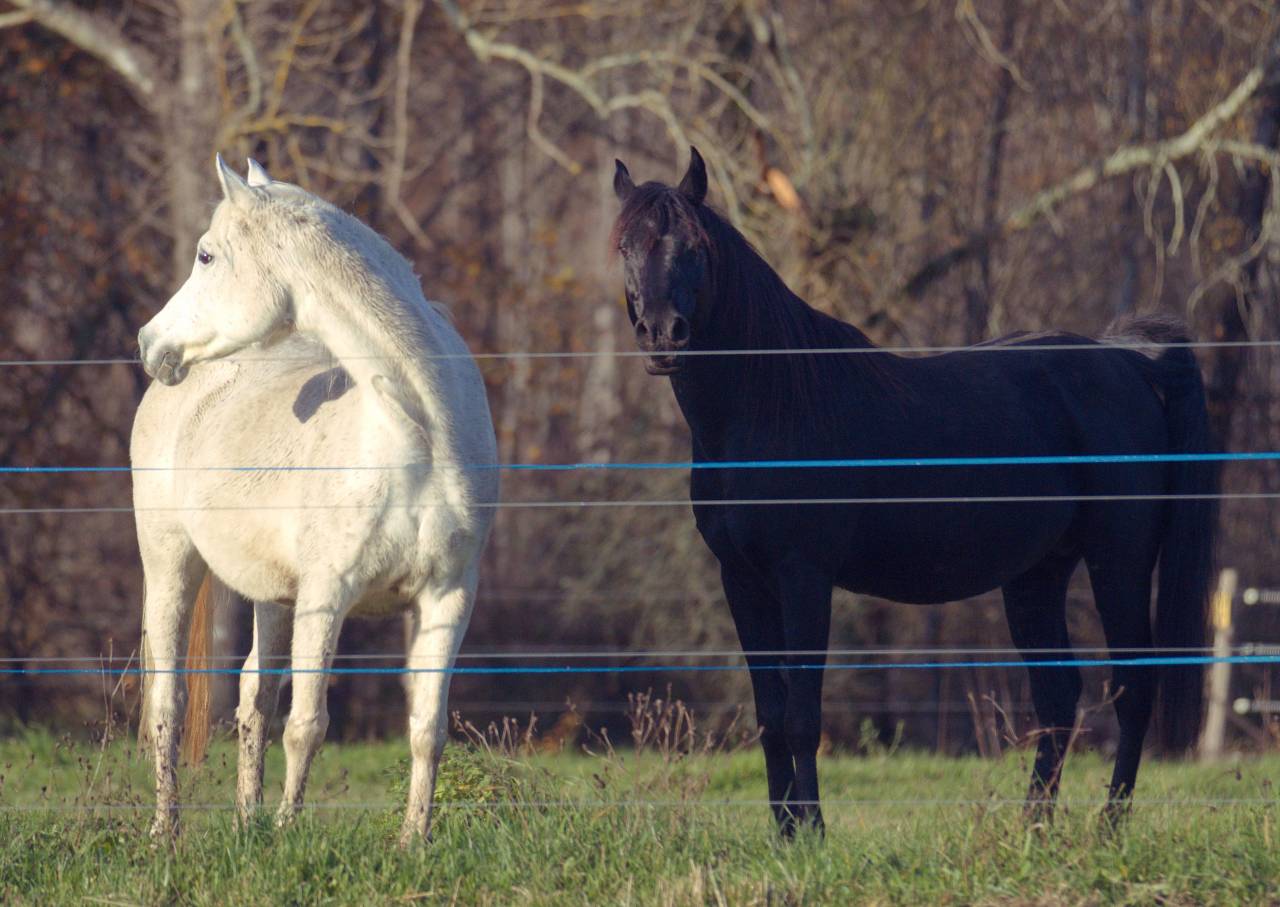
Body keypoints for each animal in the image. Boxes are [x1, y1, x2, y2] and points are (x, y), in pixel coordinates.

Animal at [133, 155, 498, 844]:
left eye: (206, 255)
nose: (149, 344)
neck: (419, 433)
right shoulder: (328, 595)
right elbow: (308, 726)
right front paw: (286, 835)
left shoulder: (448, 597)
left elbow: (426, 731)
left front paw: (413, 844)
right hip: (169, 561)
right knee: (167, 700)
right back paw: (165, 833)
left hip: (273, 597)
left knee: (254, 694)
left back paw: (245, 823)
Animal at [610, 147, 1217, 836]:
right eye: (624, 246)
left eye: (694, 246)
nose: (663, 335)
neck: (771, 407)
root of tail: (1129, 361)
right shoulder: (741, 580)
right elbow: (770, 718)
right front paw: (784, 835)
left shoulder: (803, 576)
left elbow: (802, 716)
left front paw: (813, 835)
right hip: (1037, 575)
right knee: (1059, 698)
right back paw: (1032, 832)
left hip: (1120, 560)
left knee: (1134, 690)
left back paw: (1108, 829)